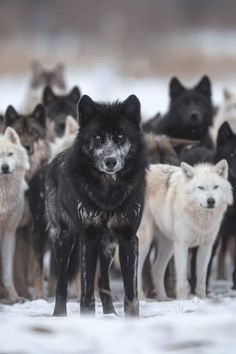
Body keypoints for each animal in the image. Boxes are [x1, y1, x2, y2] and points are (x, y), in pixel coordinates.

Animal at [138, 162, 232, 300]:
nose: (211, 201)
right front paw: (182, 300)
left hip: (168, 245)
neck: (201, 219)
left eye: (215, 187)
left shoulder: (206, 247)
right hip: (145, 241)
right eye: (200, 188)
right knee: (136, 269)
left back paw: (164, 299)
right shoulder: (182, 245)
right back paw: (141, 298)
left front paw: (202, 299)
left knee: (156, 269)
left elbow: (202, 280)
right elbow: (183, 280)